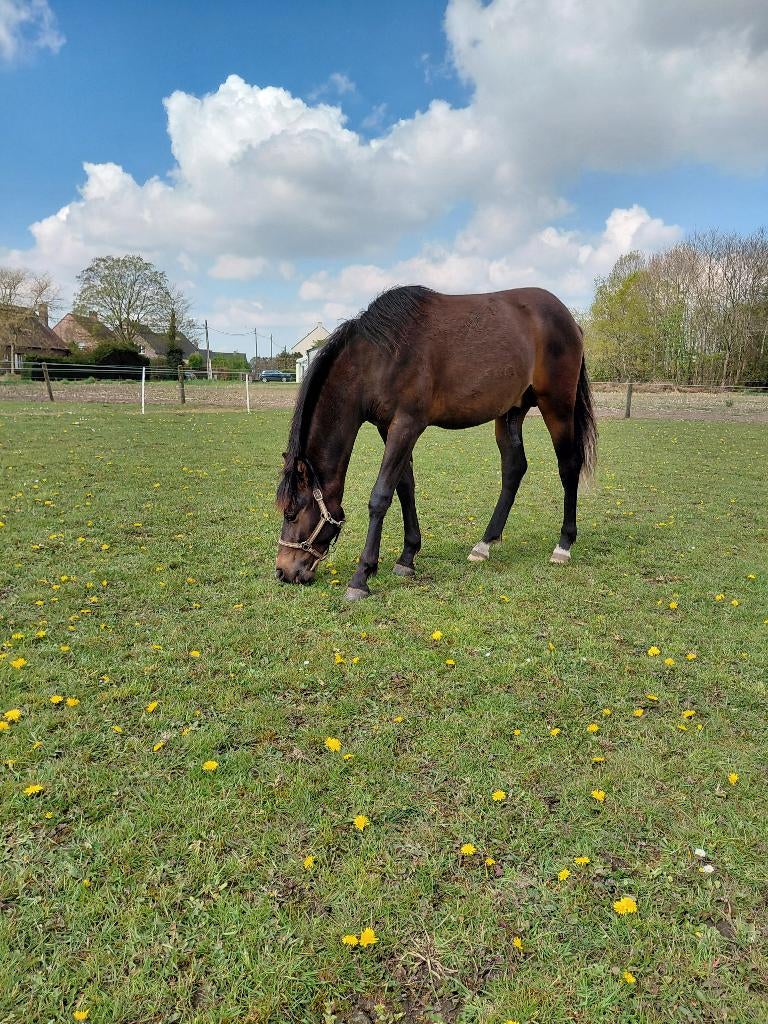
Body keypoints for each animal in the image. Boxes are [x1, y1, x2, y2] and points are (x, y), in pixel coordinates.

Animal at [275, 285, 596, 600]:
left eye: (291, 513)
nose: (282, 572)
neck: (379, 357)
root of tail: (569, 320)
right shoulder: (388, 428)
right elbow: (405, 487)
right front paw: (407, 557)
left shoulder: (406, 426)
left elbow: (381, 496)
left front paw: (361, 576)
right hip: (510, 412)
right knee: (514, 469)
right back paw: (485, 543)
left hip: (557, 406)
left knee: (568, 466)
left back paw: (563, 545)